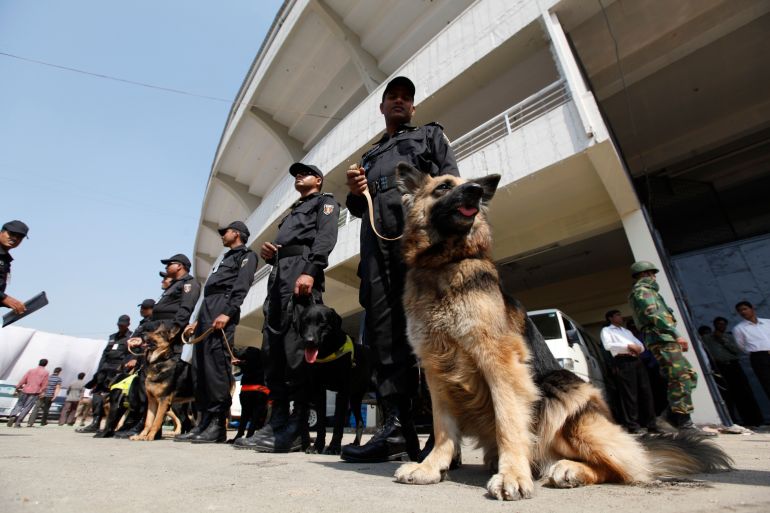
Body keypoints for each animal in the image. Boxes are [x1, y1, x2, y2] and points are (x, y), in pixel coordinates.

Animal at [296, 302, 368, 454]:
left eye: (322, 322)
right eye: (305, 321)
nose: (309, 341)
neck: (327, 354)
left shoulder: (342, 391)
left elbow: (339, 421)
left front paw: (334, 447)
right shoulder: (318, 390)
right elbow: (321, 423)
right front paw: (317, 446)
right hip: (355, 398)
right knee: (360, 421)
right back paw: (355, 444)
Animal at [392, 164, 728, 500]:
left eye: (471, 186)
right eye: (443, 187)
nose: (475, 190)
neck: (442, 264)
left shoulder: (498, 360)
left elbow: (508, 421)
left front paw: (512, 474)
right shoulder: (436, 368)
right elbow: (442, 426)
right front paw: (431, 467)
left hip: (562, 393)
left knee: (623, 467)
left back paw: (569, 469)